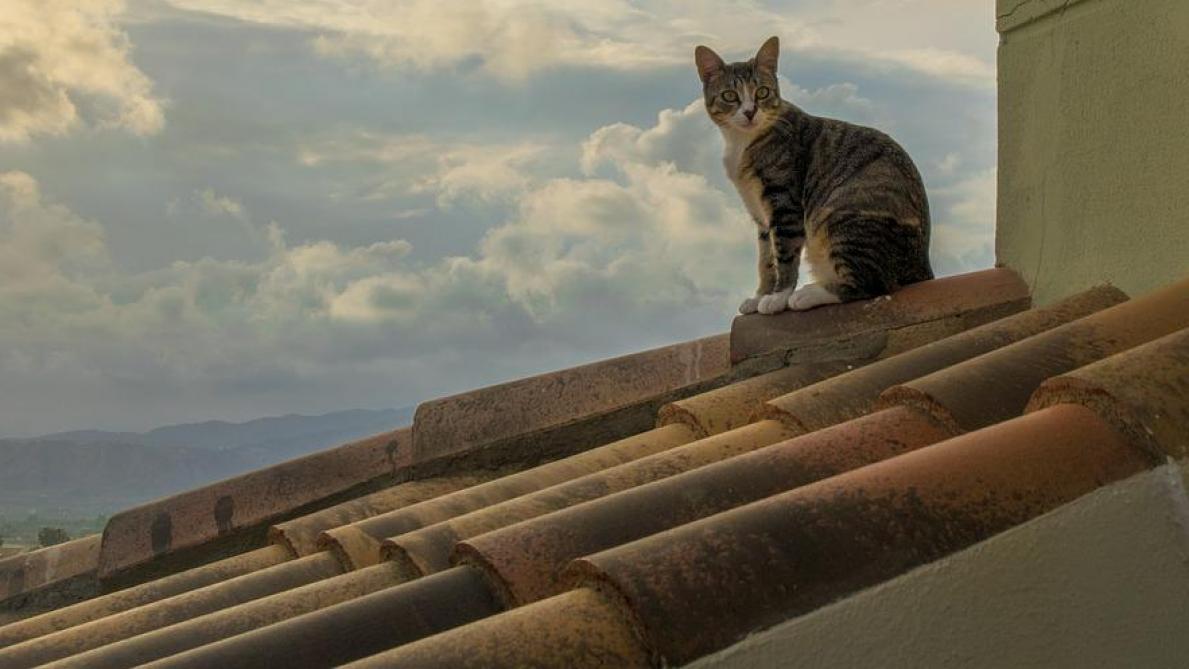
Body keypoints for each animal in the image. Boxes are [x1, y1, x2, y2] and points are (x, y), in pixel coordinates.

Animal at [694, 36, 932, 316]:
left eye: (762, 92)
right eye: (729, 96)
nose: (750, 112)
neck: (743, 143)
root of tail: (922, 266)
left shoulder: (785, 204)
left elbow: (784, 254)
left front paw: (778, 297)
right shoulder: (760, 214)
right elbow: (766, 259)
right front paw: (760, 296)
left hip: (841, 216)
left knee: (871, 283)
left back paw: (809, 294)